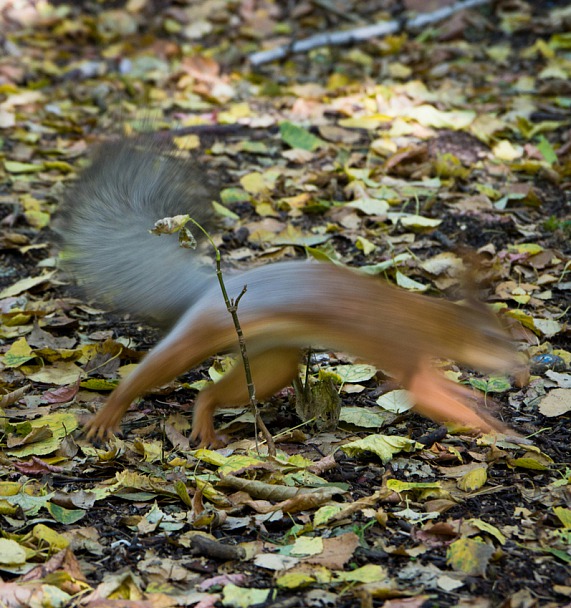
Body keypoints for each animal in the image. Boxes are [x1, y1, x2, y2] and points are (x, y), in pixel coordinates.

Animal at [58, 134, 528, 446]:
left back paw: (205, 421)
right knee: (152, 371)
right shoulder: (401, 348)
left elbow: (441, 387)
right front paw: (490, 426)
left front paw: (473, 399)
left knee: (213, 392)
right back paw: (110, 413)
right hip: (205, 333)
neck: (429, 318)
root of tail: (213, 287)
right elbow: (426, 393)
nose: (519, 366)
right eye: (490, 337)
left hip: (273, 361)